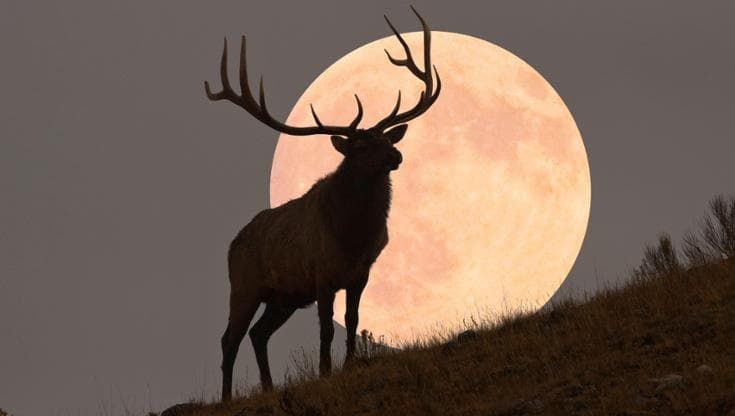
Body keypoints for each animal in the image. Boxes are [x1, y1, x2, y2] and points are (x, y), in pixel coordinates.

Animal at [204, 6, 441, 402]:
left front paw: (348, 364)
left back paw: (268, 386)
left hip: (283, 297)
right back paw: (225, 397)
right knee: (228, 339)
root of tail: (231, 245)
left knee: (258, 333)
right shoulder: (322, 275)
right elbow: (326, 330)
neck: (353, 236)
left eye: (385, 139)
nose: (396, 155)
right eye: (359, 146)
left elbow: (352, 321)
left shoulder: (360, 273)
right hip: (244, 284)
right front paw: (325, 371)